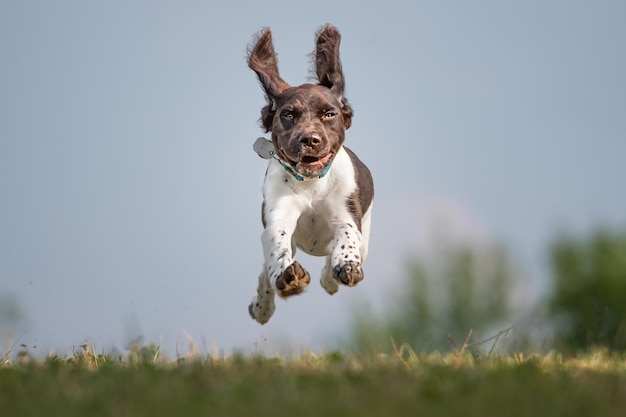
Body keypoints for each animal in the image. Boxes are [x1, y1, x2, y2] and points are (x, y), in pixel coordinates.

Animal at [245, 24, 372, 324]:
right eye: (289, 114)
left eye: (329, 114)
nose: (310, 140)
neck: (311, 184)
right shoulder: (277, 217)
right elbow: (277, 244)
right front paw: (288, 276)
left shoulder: (347, 214)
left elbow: (346, 235)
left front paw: (346, 265)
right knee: (265, 275)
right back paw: (262, 305)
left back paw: (331, 276)